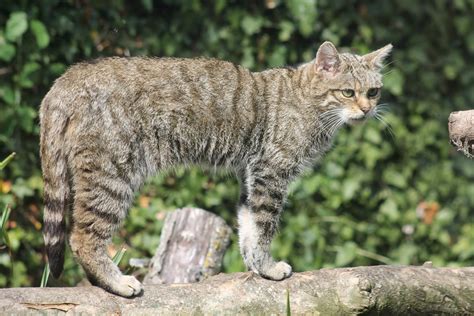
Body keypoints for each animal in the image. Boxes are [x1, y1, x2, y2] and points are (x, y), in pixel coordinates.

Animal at [39, 41, 392, 296]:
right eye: (348, 92)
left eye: (373, 91)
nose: (367, 109)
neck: (308, 101)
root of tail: (67, 79)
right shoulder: (272, 173)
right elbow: (264, 227)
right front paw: (269, 267)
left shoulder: (251, 176)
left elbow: (248, 228)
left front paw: (259, 269)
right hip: (112, 176)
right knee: (83, 238)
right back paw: (116, 282)